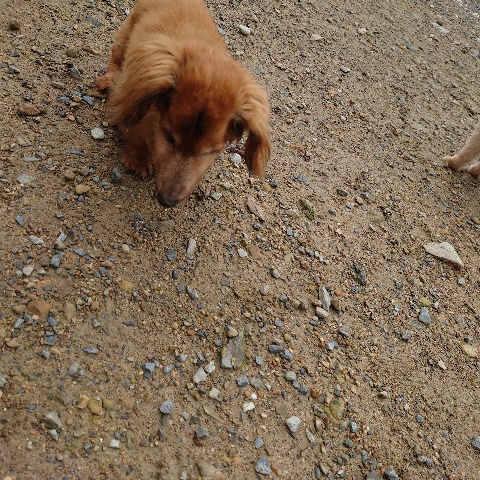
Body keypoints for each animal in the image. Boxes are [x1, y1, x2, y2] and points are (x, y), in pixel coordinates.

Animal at [95, 0, 270, 207]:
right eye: (169, 137)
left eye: (211, 151)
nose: (167, 201)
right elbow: (135, 135)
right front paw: (137, 159)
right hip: (127, 31)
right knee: (117, 56)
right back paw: (107, 80)